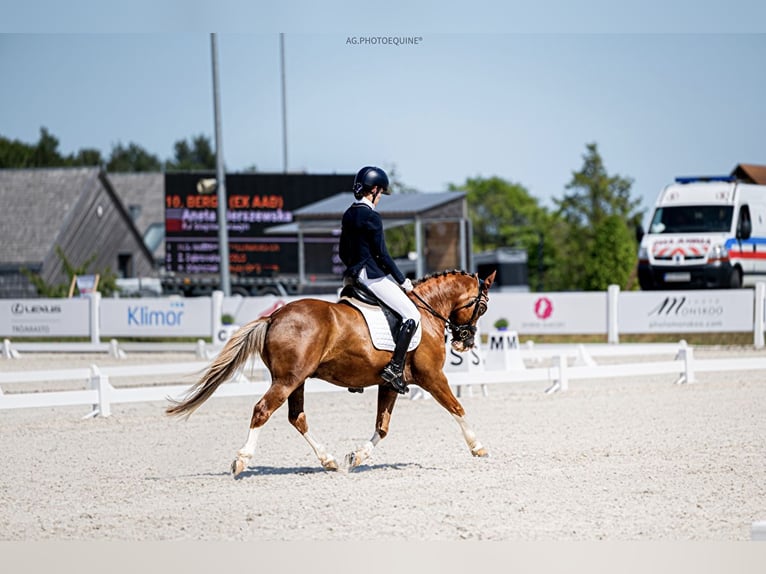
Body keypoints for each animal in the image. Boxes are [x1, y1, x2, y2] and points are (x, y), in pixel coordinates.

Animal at [166, 270, 498, 476]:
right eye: (482, 307)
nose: (465, 342)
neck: (426, 314)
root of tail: (274, 316)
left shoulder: (391, 383)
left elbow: (382, 426)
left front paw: (357, 456)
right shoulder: (432, 377)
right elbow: (457, 408)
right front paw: (478, 447)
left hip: (296, 380)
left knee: (297, 418)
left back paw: (328, 460)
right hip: (286, 380)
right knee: (262, 410)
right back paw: (242, 460)